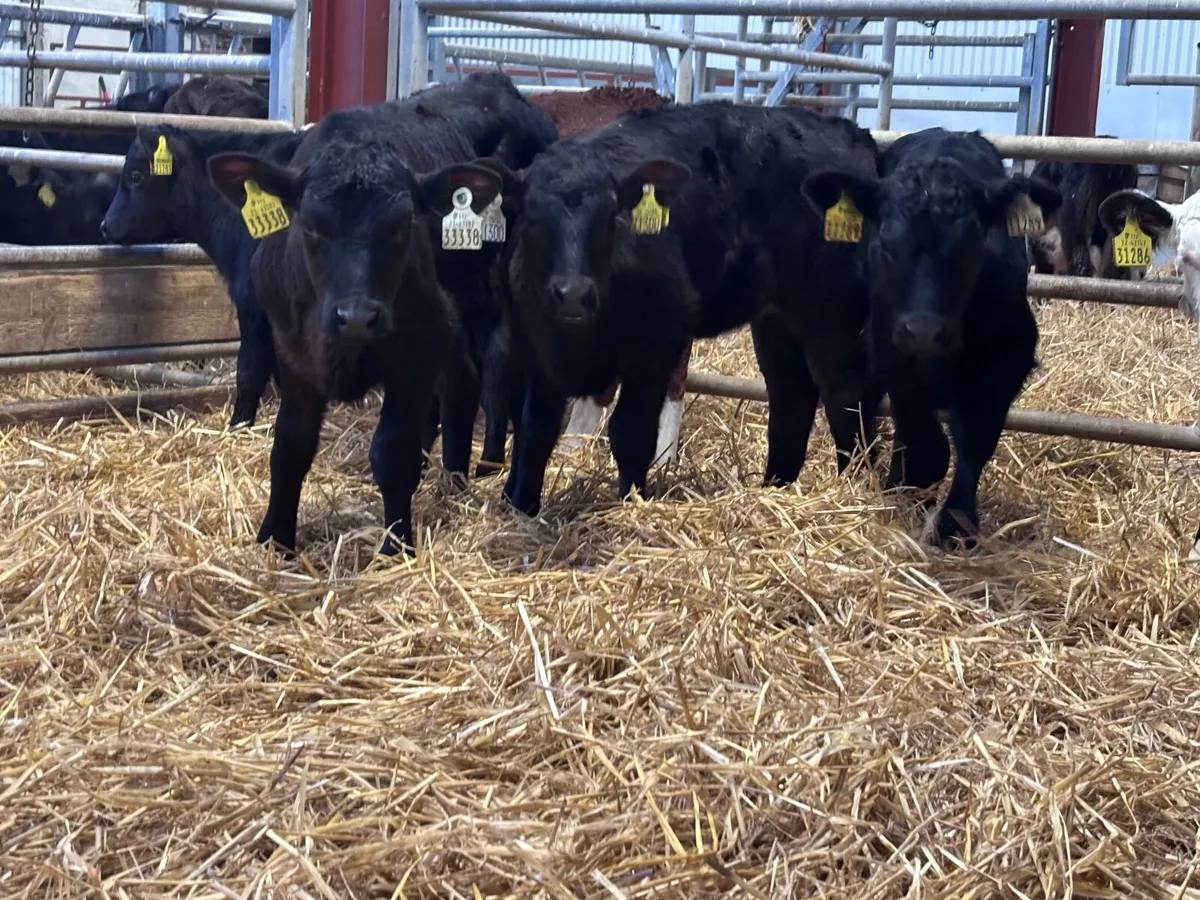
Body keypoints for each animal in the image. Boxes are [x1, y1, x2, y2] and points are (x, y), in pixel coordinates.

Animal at [203, 78, 551, 556]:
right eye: (310, 226)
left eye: (403, 225)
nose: (356, 317)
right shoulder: (293, 351)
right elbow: (290, 446)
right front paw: (275, 540)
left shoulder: (417, 350)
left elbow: (392, 451)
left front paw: (396, 545)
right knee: (463, 385)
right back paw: (452, 482)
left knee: (505, 388)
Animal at [486, 102, 880, 519]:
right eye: (531, 220)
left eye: (610, 218)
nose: (574, 294)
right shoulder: (535, 346)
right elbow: (534, 432)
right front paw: (521, 506)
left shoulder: (658, 337)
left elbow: (630, 430)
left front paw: (631, 501)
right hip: (777, 319)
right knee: (792, 395)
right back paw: (776, 486)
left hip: (830, 315)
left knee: (845, 397)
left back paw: (853, 486)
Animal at [805, 128, 1061, 547]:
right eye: (885, 243)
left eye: (971, 242)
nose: (924, 331)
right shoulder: (892, 351)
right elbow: (926, 444)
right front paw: (904, 489)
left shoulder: (1009, 358)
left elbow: (974, 438)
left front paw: (956, 525)